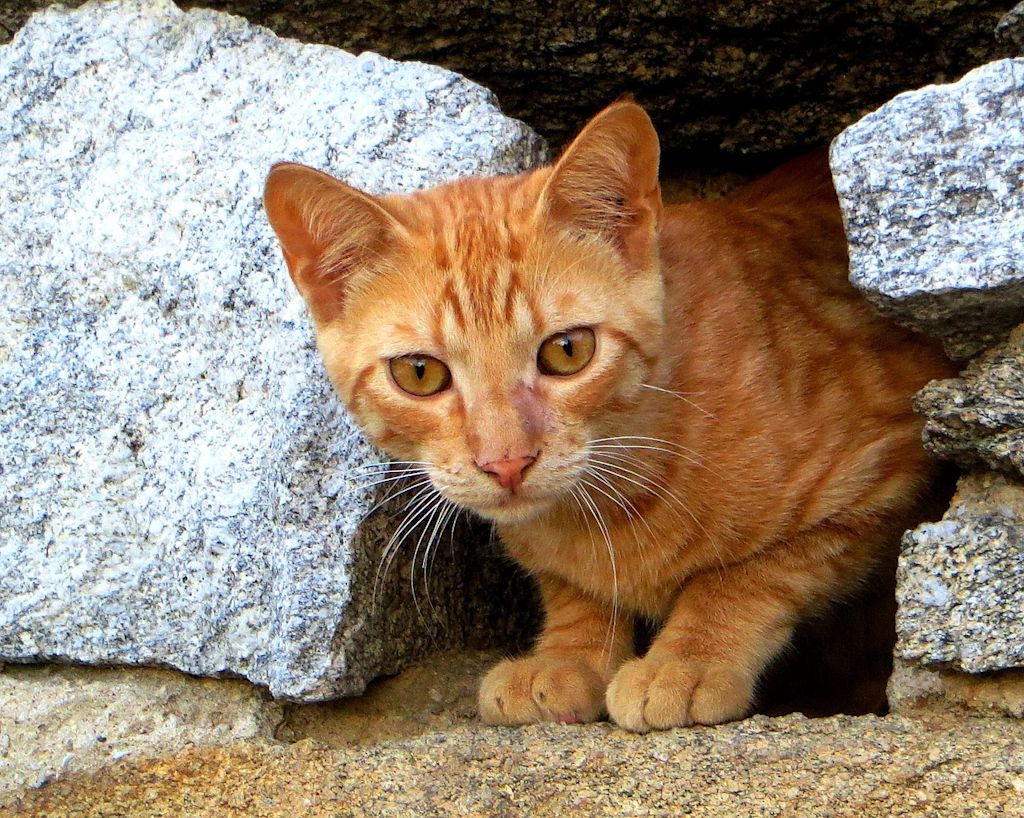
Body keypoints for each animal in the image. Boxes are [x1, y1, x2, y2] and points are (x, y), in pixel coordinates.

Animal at [264, 100, 950, 728]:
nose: (507, 462)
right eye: (420, 373)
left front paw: (689, 659)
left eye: (567, 352)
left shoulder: (884, 469)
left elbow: (748, 575)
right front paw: (569, 654)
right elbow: (572, 590)